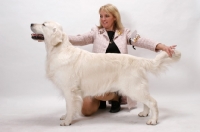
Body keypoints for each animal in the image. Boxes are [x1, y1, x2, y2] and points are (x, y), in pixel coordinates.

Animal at [30, 21, 181, 126]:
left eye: (43, 24)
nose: (31, 24)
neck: (59, 50)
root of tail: (138, 60)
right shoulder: (69, 90)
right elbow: (68, 106)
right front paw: (65, 116)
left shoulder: (70, 89)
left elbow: (70, 105)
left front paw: (67, 121)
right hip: (137, 87)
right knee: (147, 102)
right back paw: (144, 113)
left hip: (133, 88)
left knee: (152, 102)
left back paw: (153, 120)